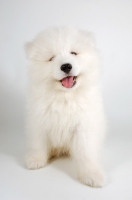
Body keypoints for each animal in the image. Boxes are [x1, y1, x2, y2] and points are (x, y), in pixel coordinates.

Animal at [25, 27, 106, 188]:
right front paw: (36, 160)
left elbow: (86, 152)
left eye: (73, 53)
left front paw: (92, 175)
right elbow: (38, 143)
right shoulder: (39, 121)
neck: (65, 97)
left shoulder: (84, 126)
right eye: (51, 58)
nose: (66, 66)